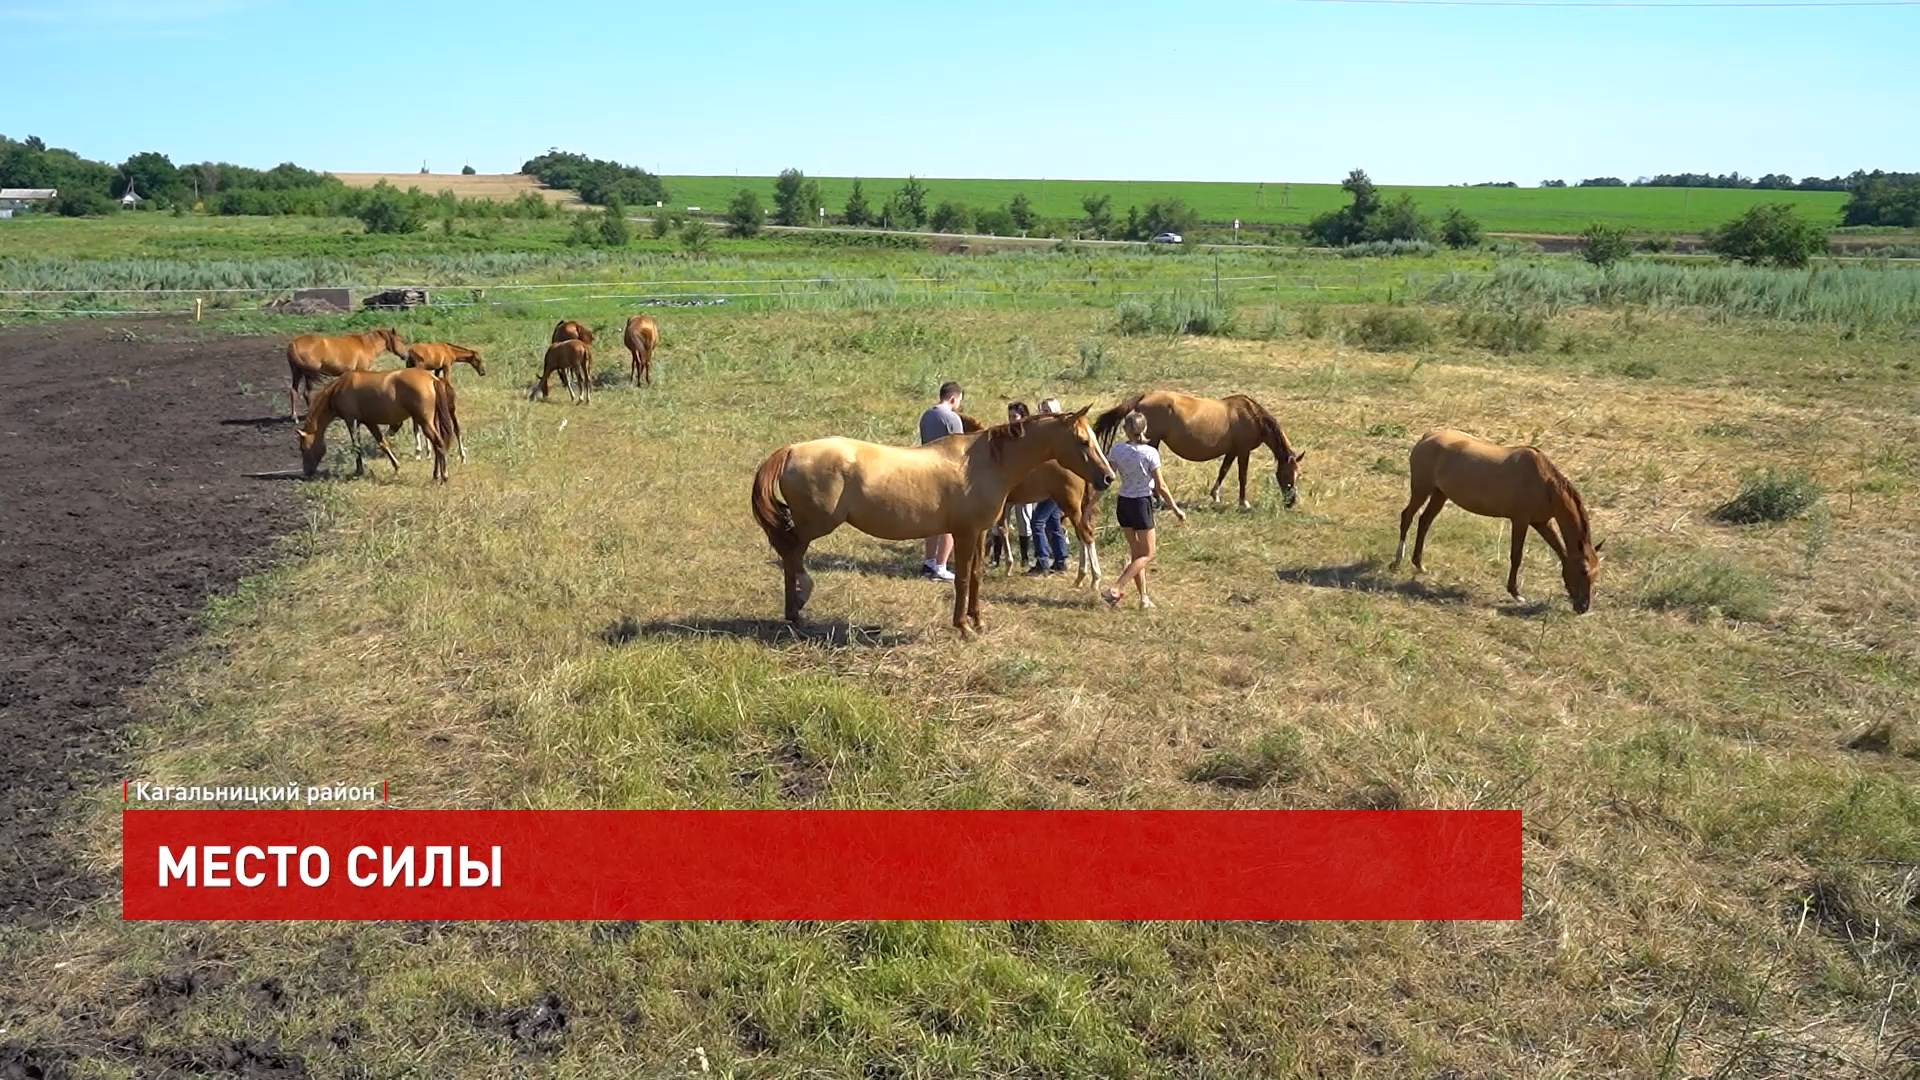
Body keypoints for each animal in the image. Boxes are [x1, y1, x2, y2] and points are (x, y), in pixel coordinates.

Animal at [303, 365, 460, 478]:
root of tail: (433, 379)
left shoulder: (350, 420)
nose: (307, 472)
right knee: (437, 446)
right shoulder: (368, 422)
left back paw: (444, 476)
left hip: (425, 422)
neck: (339, 388)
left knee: (439, 443)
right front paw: (396, 468)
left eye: (303, 448)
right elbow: (382, 444)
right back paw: (435, 475)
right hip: (432, 422)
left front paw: (358, 471)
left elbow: (356, 446)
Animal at [960, 409, 1113, 588]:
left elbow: (1000, 529)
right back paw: (1079, 577)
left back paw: (1093, 578)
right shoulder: (1007, 504)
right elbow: (1002, 529)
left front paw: (1005, 565)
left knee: (1085, 534)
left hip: (1070, 504)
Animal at [1098, 388, 1305, 507]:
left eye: (1299, 474)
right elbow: (1242, 476)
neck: (1251, 416)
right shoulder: (1243, 451)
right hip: (1152, 441)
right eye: (1286, 474)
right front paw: (1243, 503)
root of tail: (1144, 396)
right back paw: (1158, 499)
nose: (1292, 502)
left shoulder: (1232, 451)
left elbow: (1223, 471)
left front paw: (1215, 495)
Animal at [1397, 428, 1605, 614]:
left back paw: (1419, 564)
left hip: (1439, 494)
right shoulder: (1520, 520)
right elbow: (1516, 556)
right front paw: (1516, 594)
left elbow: (1561, 553)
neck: (1545, 484)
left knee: (1424, 521)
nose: (1583, 607)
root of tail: (1427, 436)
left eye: (1596, 573)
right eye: (1583, 571)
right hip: (1421, 489)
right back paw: (1396, 562)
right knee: (1407, 516)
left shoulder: (1542, 523)